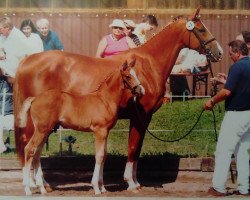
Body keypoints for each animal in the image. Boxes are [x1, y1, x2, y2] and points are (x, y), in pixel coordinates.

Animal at [18, 59, 145, 195]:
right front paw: (96, 188)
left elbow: (104, 156)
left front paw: (103, 187)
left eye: (136, 74)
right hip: (41, 130)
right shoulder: (99, 131)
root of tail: (35, 98)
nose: (141, 91)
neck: (104, 100)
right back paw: (28, 189)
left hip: (45, 131)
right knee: (29, 149)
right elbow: (99, 156)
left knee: (36, 154)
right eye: (128, 76)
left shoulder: (106, 132)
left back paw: (42, 188)